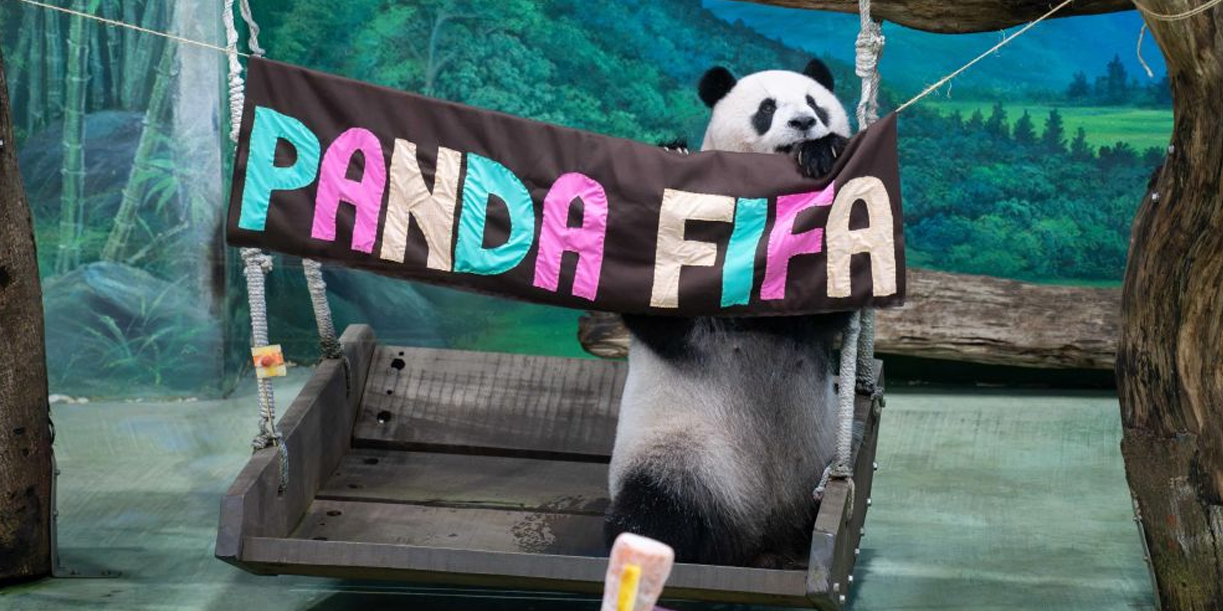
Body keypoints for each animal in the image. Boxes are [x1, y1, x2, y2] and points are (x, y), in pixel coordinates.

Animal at [604, 58, 853, 568]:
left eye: (815, 102)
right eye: (767, 108)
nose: (804, 123)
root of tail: (763, 533)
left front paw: (824, 152)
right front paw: (669, 154)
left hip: (816, 460)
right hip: (685, 455)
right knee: (652, 513)